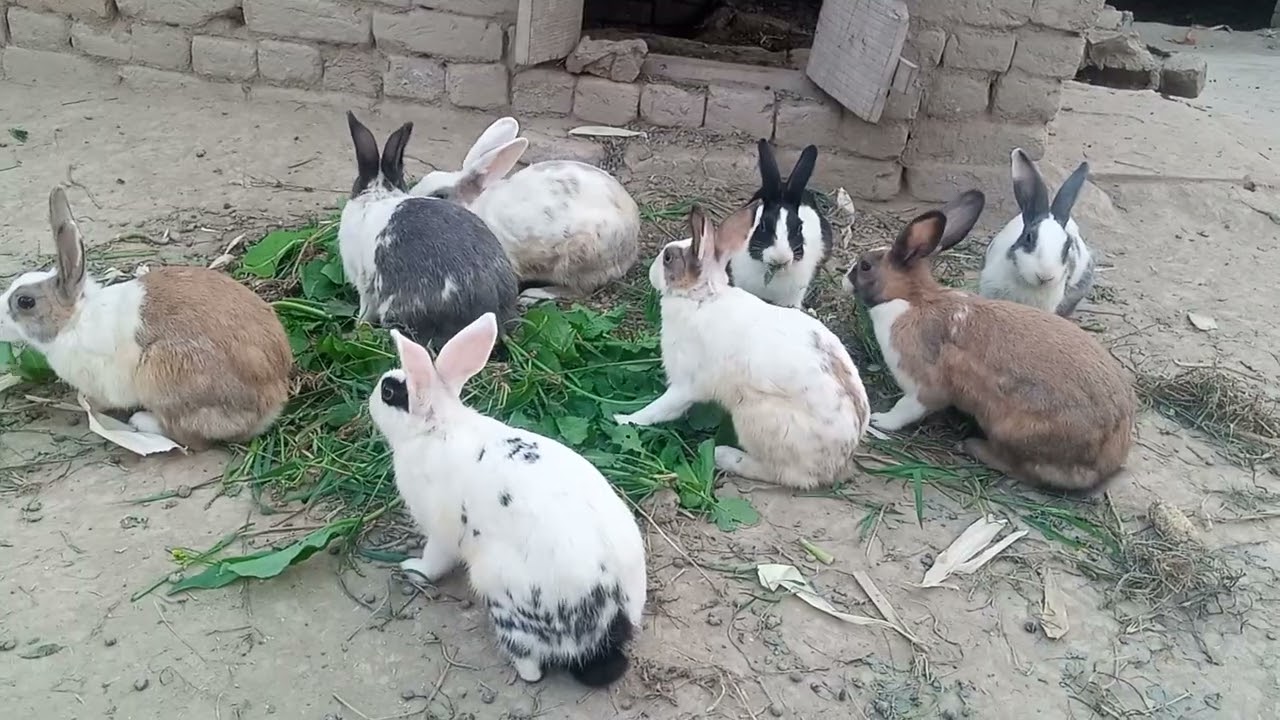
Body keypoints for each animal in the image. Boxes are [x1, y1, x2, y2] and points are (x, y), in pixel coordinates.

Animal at [0, 186, 293, 451]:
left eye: (25, 302)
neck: (73, 320)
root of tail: (271, 400)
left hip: (162, 373)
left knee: (192, 438)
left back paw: (141, 423)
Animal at [369, 312, 646, 687]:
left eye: (389, 393)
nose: (370, 397)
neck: (436, 429)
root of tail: (608, 619)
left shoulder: (441, 532)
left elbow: (435, 560)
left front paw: (413, 570)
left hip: (502, 592)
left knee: (530, 665)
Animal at [409, 117, 640, 305]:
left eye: (439, 196)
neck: (475, 208)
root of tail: (630, 250)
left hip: (578, 256)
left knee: (578, 290)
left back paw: (533, 296)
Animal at [614, 201, 870, 490]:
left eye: (668, 258)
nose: (651, 271)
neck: (702, 297)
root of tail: (840, 461)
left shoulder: (686, 384)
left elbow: (661, 409)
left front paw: (623, 420)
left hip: (755, 419)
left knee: (785, 474)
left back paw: (724, 455)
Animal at [843, 189, 1135, 495]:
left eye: (865, 266)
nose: (844, 279)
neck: (911, 300)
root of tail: (1108, 460)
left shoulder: (922, 384)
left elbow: (908, 408)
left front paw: (881, 420)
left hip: (1014, 431)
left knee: (1025, 469)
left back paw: (973, 446)